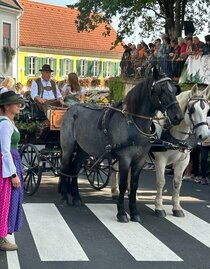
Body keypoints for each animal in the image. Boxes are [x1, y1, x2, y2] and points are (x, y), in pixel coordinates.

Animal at [110, 84, 210, 216]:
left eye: (207, 110)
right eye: (192, 109)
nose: (204, 136)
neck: (175, 135)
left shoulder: (183, 161)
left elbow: (177, 183)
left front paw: (177, 207)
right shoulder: (160, 160)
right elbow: (161, 182)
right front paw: (159, 207)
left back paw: (132, 193)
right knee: (115, 168)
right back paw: (115, 191)